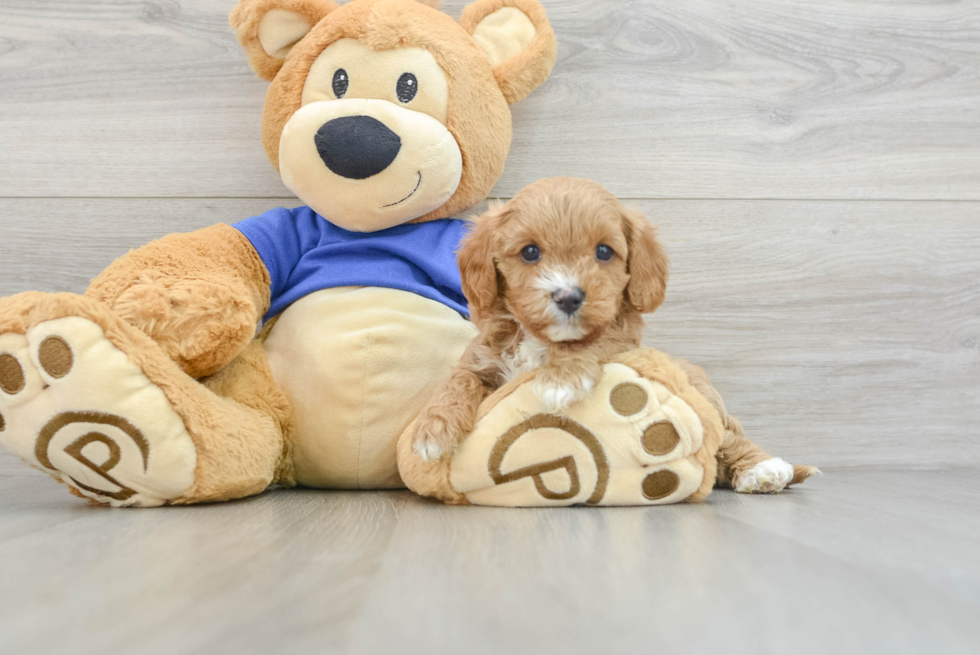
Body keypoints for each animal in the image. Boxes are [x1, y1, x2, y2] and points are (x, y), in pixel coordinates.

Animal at [414, 177, 820, 494]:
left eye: (604, 251)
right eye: (529, 252)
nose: (568, 296)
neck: (541, 341)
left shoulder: (619, 343)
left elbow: (593, 342)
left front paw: (561, 378)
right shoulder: (483, 358)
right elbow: (459, 381)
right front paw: (432, 430)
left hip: (704, 396)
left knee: (729, 437)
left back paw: (763, 470)